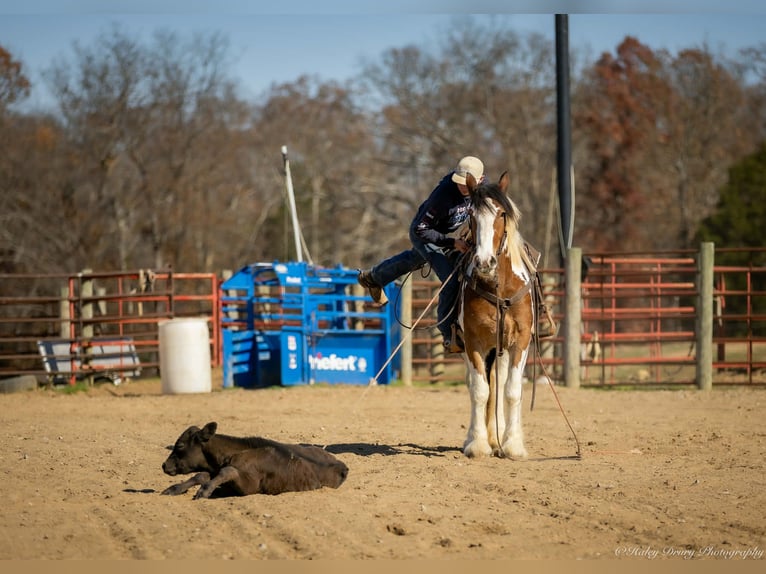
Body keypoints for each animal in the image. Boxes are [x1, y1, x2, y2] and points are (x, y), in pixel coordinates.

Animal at [459, 171, 534, 459]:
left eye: (501, 214)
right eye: (471, 215)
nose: (484, 262)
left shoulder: (520, 342)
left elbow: (512, 390)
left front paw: (513, 445)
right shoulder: (473, 342)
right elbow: (480, 390)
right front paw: (478, 444)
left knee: (500, 385)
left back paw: (499, 438)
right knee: (478, 385)